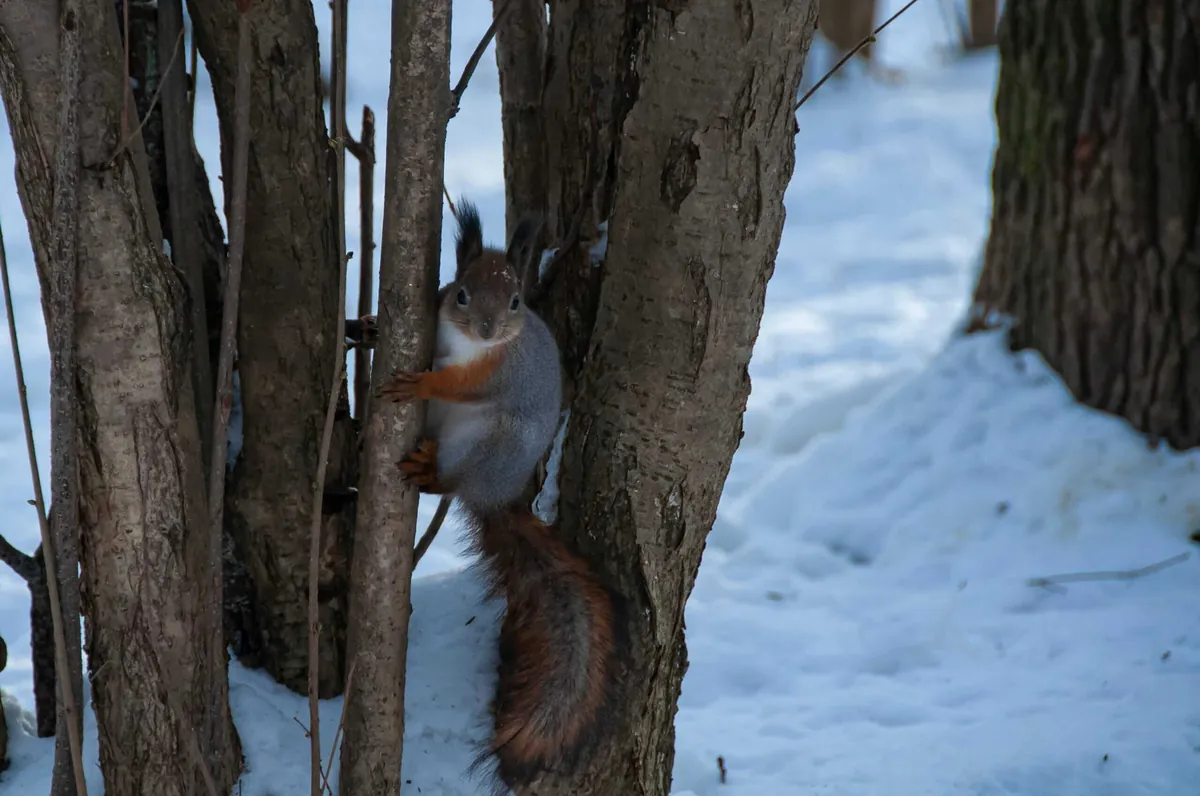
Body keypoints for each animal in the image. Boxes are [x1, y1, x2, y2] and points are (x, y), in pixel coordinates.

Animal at [378, 200, 623, 792]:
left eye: (515, 300)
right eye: (460, 293)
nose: (489, 328)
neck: (468, 346)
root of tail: (497, 495)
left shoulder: (497, 373)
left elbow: (459, 385)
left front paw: (421, 383)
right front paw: (368, 327)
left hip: (490, 446)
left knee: (455, 481)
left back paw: (433, 473)